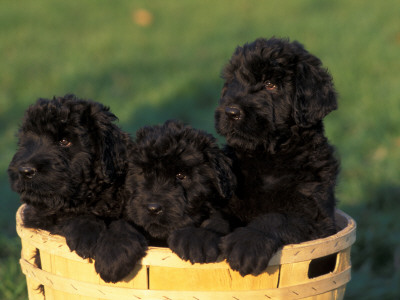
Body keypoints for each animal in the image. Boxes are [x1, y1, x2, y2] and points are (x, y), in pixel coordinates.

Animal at [8, 95, 147, 282]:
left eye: (64, 141)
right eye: (28, 141)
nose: (25, 171)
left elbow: (126, 222)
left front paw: (113, 257)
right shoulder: (39, 216)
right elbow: (65, 217)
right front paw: (86, 234)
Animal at [214, 38, 340, 276]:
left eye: (270, 84)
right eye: (235, 81)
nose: (230, 112)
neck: (268, 157)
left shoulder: (314, 216)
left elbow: (276, 217)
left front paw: (247, 244)